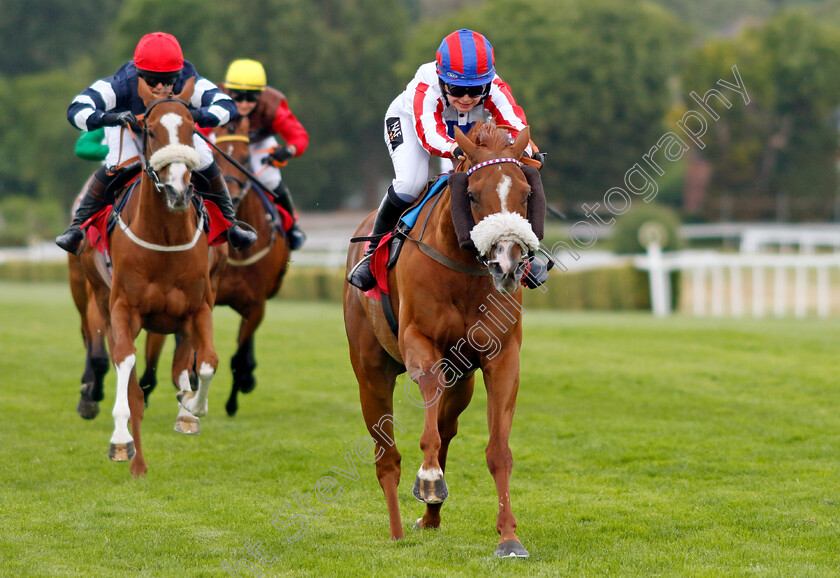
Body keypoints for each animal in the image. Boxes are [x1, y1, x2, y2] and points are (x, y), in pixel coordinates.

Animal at [80, 76, 225, 474]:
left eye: (192, 129)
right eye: (148, 129)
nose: (178, 190)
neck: (164, 237)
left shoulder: (199, 307)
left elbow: (207, 361)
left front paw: (193, 407)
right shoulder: (123, 307)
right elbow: (124, 360)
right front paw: (120, 438)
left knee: (182, 360)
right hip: (100, 299)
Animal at [141, 113, 292, 414]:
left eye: (246, 158)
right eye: (217, 159)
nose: (230, 197)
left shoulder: (256, 305)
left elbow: (239, 355)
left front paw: (234, 397)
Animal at [344, 120, 540, 552]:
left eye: (525, 193)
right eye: (472, 194)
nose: (507, 264)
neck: (463, 267)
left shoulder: (502, 356)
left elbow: (498, 451)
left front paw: (509, 537)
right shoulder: (419, 340)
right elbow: (427, 402)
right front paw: (430, 478)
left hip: (462, 382)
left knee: (447, 428)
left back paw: (430, 518)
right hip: (370, 373)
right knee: (387, 458)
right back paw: (398, 530)